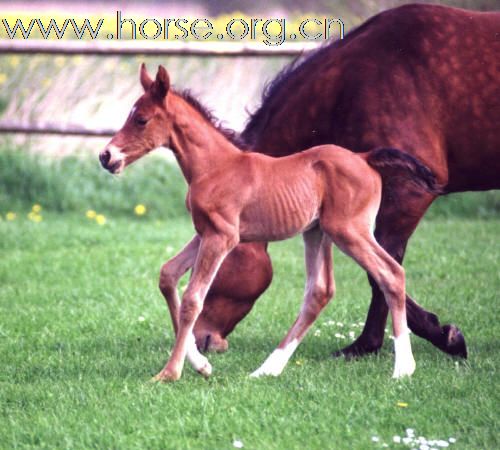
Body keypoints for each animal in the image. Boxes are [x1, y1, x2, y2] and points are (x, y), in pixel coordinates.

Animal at [99, 65, 440, 382]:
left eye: (141, 119)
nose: (106, 156)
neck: (215, 167)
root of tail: (365, 157)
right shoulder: (204, 233)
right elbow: (168, 275)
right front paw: (201, 364)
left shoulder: (222, 237)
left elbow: (192, 298)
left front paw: (170, 373)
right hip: (317, 233)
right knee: (320, 292)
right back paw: (268, 368)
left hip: (349, 230)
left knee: (391, 274)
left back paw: (403, 368)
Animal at [188, 4, 500, 358]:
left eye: (211, 266)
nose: (199, 339)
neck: (357, 80)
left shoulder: (406, 194)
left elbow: (383, 270)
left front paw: (373, 344)